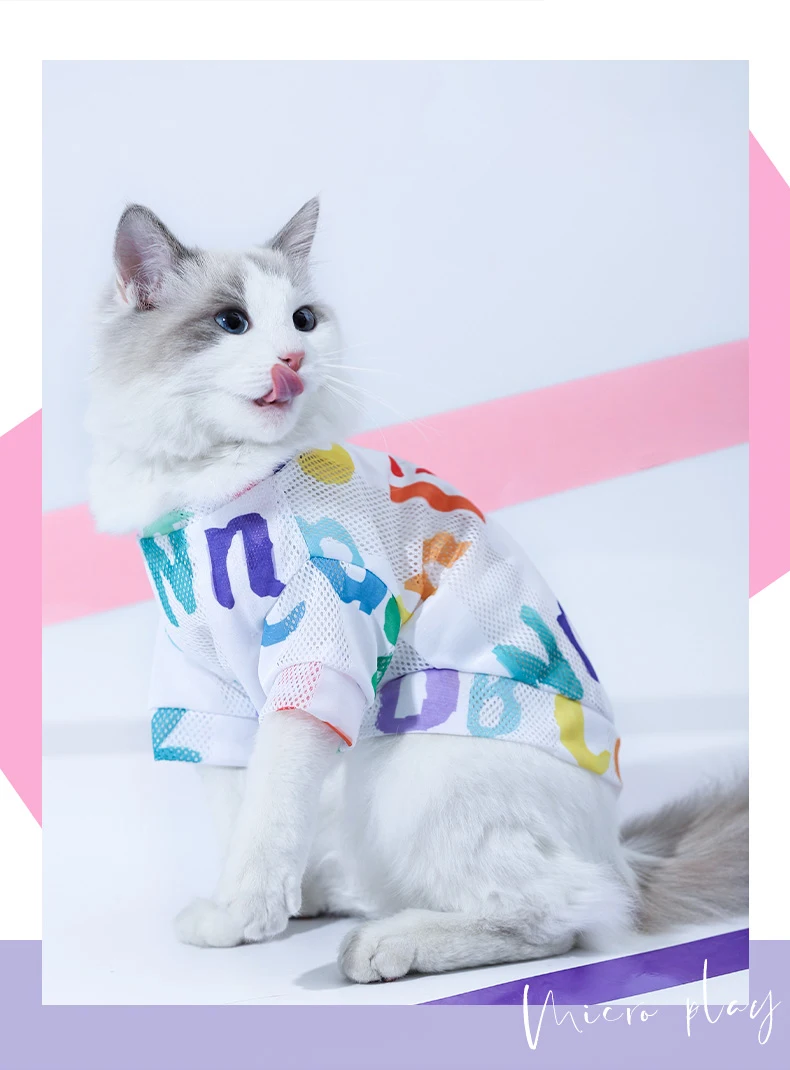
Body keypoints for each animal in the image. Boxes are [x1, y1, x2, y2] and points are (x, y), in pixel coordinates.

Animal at [86, 198, 748, 984]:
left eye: (303, 321)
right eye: (231, 322)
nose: (293, 359)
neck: (217, 494)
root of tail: (621, 855)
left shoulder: (316, 660)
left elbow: (267, 816)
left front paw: (240, 916)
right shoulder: (204, 689)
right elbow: (238, 812)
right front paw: (249, 918)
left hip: (412, 768)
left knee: (561, 915)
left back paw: (386, 944)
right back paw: (326, 890)